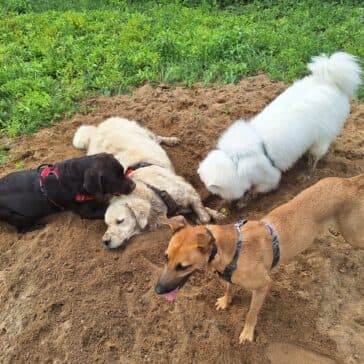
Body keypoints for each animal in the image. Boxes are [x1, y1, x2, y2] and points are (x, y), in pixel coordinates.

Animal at [0, 152, 135, 232]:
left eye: (123, 171)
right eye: (114, 179)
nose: (134, 186)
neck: (78, 177)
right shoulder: (87, 212)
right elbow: (105, 210)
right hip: (16, 216)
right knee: (22, 229)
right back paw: (38, 225)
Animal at [73, 118, 222, 249]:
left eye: (120, 221)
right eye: (107, 224)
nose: (105, 241)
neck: (152, 190)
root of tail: (96, 129)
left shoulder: (189, 192)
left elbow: (203, 215)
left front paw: (212, 216)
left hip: (143, 131)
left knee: (157, 137)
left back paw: (171, 140)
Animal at [154, 175, 364, 342]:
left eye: (183, 266)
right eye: (165, 258)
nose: (157, 291)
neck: (232, 249)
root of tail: (350, 182)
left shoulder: (263, 286)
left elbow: (251, 314)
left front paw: (247, 333)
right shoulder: (230, 277)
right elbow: (229, 288)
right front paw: (226, 301)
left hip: (352, 236)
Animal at [199, 52, 362, 203]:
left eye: (218, 193)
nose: (225, 202)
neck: (235, 161)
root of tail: (329, 82)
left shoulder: (268, 176)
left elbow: (259, 188)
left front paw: (246, 199)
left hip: (322, 138)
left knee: (316, 156)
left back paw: (308, 173)